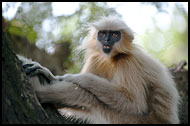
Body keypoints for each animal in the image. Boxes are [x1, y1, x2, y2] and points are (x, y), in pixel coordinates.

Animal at [17, 15, 180, 123]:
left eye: (114, 34)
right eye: (102, 34)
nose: (106, 40)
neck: (113, 58)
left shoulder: (128, 61)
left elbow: (134, 104)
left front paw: (69, 77)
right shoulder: (96, 58)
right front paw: (51, 75)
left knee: (89, 97)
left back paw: (38, 90)